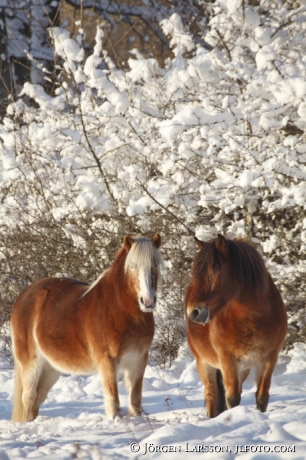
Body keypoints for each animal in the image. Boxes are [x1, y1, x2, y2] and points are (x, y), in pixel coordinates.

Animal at [10, 235, 164, 422]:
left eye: (155, 265)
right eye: (132, 265)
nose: (148, 301)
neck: (120, 310)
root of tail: (24, 295)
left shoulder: (138, 360)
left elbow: (135, 400)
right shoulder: (107, 362)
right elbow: (113, 400)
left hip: (50, 367)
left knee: (37, 398)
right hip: (31, 364)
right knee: (28, 398)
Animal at [185, 235, 288, 418]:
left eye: (214, 271)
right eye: (195, 273)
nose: (193, 312)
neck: (253, 320)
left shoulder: (269, 358)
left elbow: (262, 397)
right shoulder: (228, 360)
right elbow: (232, 399)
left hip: (243, 369)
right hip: (204, 363)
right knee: (212, 395)